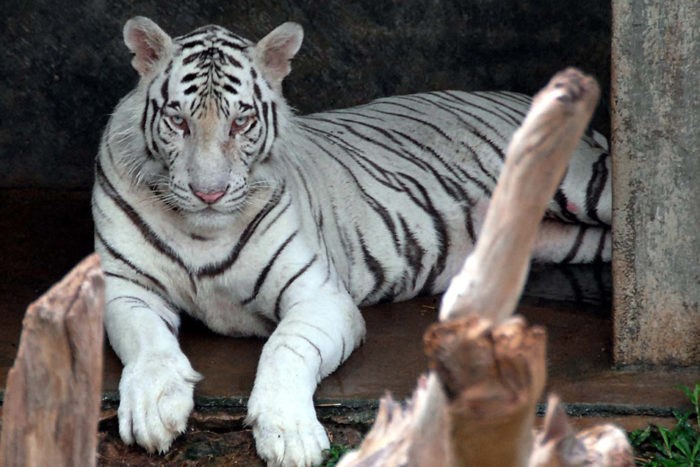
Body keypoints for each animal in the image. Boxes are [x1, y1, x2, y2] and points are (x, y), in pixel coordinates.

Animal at [94, 16, 612, 466]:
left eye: (241, 122)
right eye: (178, 121)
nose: (209, 193)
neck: (201, 230)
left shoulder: (320, 296)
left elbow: (285, 347)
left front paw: (289, 433)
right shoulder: (125, 288)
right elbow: (147, 341)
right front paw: (153, 406)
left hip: (586, 185)